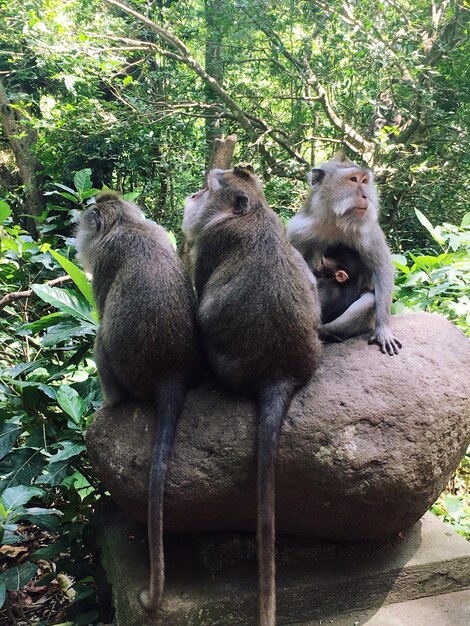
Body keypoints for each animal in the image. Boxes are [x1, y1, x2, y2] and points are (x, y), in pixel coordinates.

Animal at [76, 193, 201, 612]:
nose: (77, 231)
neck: (127, 224)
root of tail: (170, 374)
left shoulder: (103, 260)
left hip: (127, 372)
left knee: (102, 338)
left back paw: (111, 401)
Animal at [182, 166, 322, 624]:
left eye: (217, 185)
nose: (211, 173)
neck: (253, 213)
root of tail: (281, 371)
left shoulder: (210, 243)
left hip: (228, 367)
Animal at [284, 151, 402, 354]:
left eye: (364, 181)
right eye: (353, 180)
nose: (365, 195)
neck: (334, 219)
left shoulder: (368, 228)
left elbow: (383, 269)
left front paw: (384, 330)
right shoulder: (297, 229)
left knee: (368, 300)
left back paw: (326, 333)